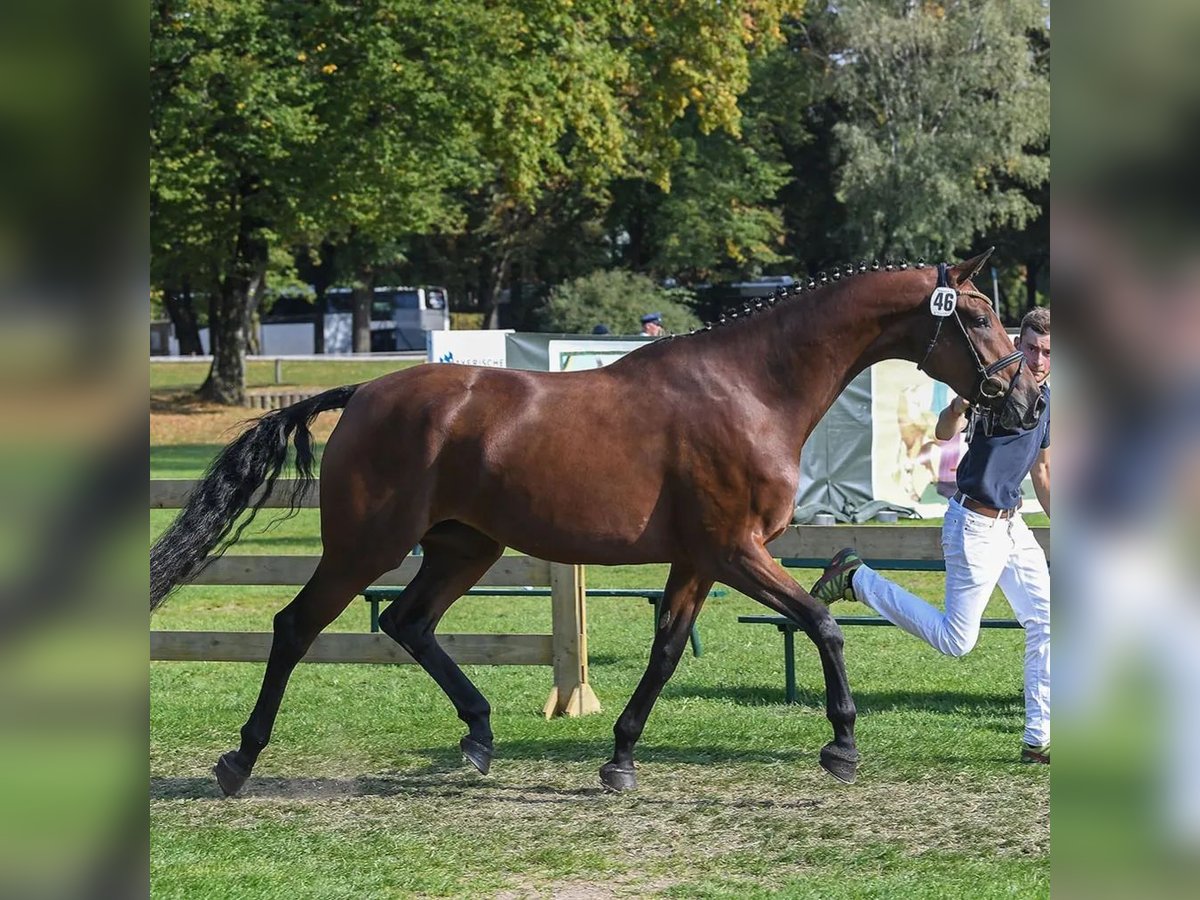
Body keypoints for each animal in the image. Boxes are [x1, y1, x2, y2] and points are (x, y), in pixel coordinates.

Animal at [154, 247, 1046, 796]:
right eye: (975, 314)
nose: (1026, 399)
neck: (751, 387)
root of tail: (366, 391)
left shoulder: (698, 560)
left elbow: (664, 654)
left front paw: (619, 758)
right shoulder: (735, 551)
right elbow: (823, 622)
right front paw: (842, 745)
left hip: (464, 547)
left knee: (407, 623)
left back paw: (479, 735)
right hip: (364, 547)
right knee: (296, 626)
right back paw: (239, 758)